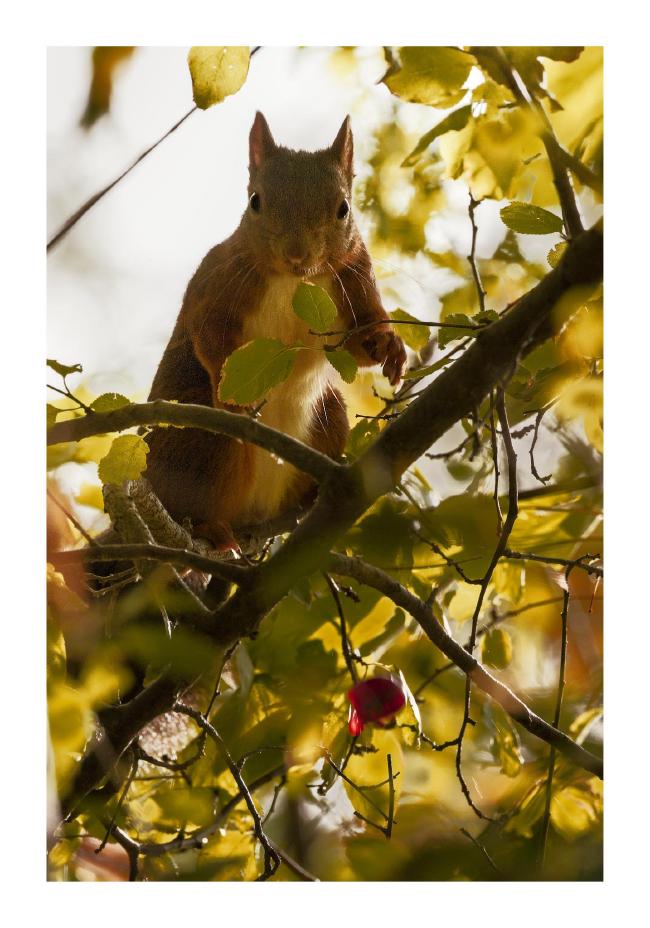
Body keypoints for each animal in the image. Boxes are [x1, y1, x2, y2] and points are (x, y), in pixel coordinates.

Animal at [145, 112, 406, 551]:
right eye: (255, 201)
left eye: (343, 208)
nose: (297, 254)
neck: (294, 282)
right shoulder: (216, 282)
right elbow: (208, 331)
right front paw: (233, 395)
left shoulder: (355, 279)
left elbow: (358, 343)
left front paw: (389, 346)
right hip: (200, 440)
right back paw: (211, 530)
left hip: (330, 417)